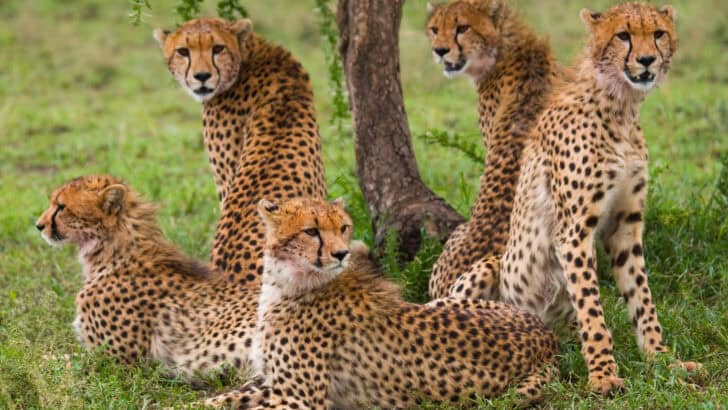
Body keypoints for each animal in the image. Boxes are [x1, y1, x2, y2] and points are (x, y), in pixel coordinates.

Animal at [199, 197, 560, 409]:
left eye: (343, 226)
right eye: (311, 231)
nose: (341, 253)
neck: (288, 282)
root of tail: (547, 336)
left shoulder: (300, 399)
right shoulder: (273, 383)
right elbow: (226, 397)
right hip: (453, 294)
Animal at [498, 3, 699, 395]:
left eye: (658, 34)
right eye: (623, 36)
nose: (647, 60)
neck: (620, 106)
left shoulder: (625, 225)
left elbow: (642, 297)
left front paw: (662, 360)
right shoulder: (574, 231)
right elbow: (591, 307)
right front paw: (604, 374)